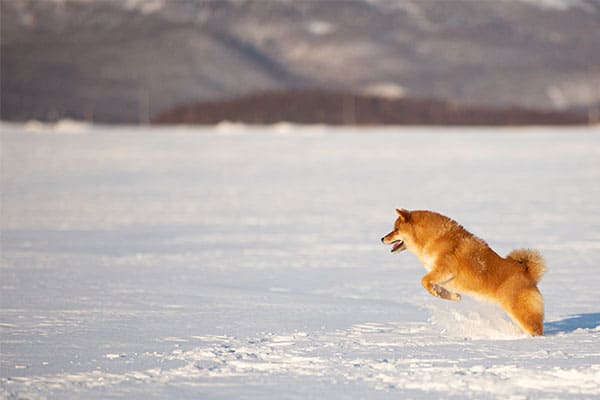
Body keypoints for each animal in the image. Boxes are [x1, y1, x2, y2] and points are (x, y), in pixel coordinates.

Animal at [382, 209, 548, 338]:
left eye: (395, 229)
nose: (382, 238)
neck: (434, 238)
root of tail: (528, 273)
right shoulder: (441, 276)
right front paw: (453, 296)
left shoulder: (445, 270)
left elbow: (424, 281)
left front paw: (440, 293)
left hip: (520, 313)